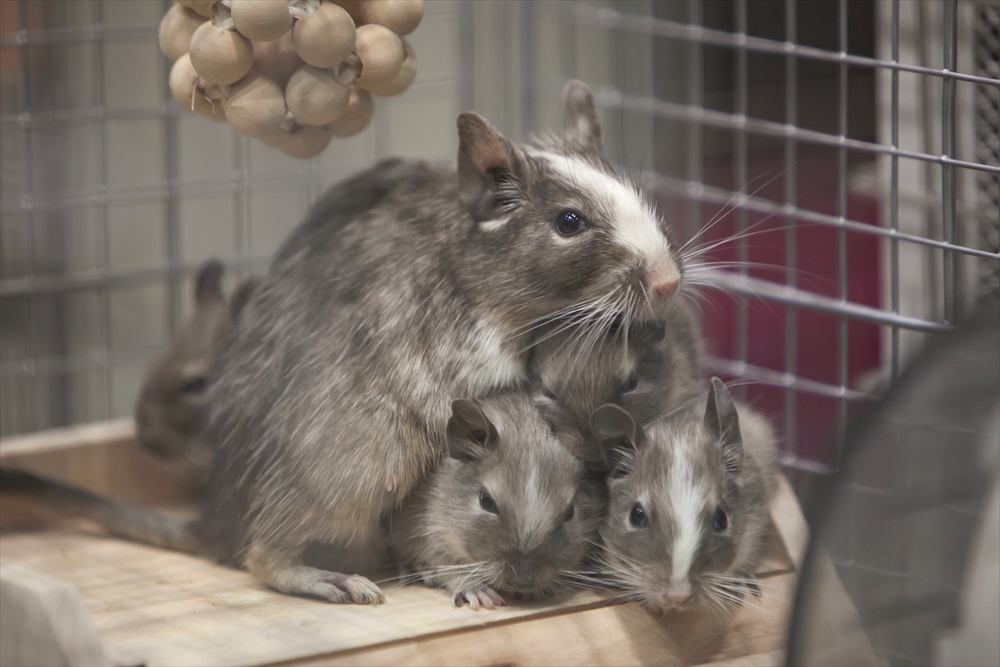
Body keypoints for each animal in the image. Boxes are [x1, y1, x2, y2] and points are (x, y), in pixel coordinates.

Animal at [390, 392, 605, 610]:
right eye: (486, 501)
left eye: (570, 512)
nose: (522, 582)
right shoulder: (427, 534)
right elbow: (451, 566)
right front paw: (479, 594)